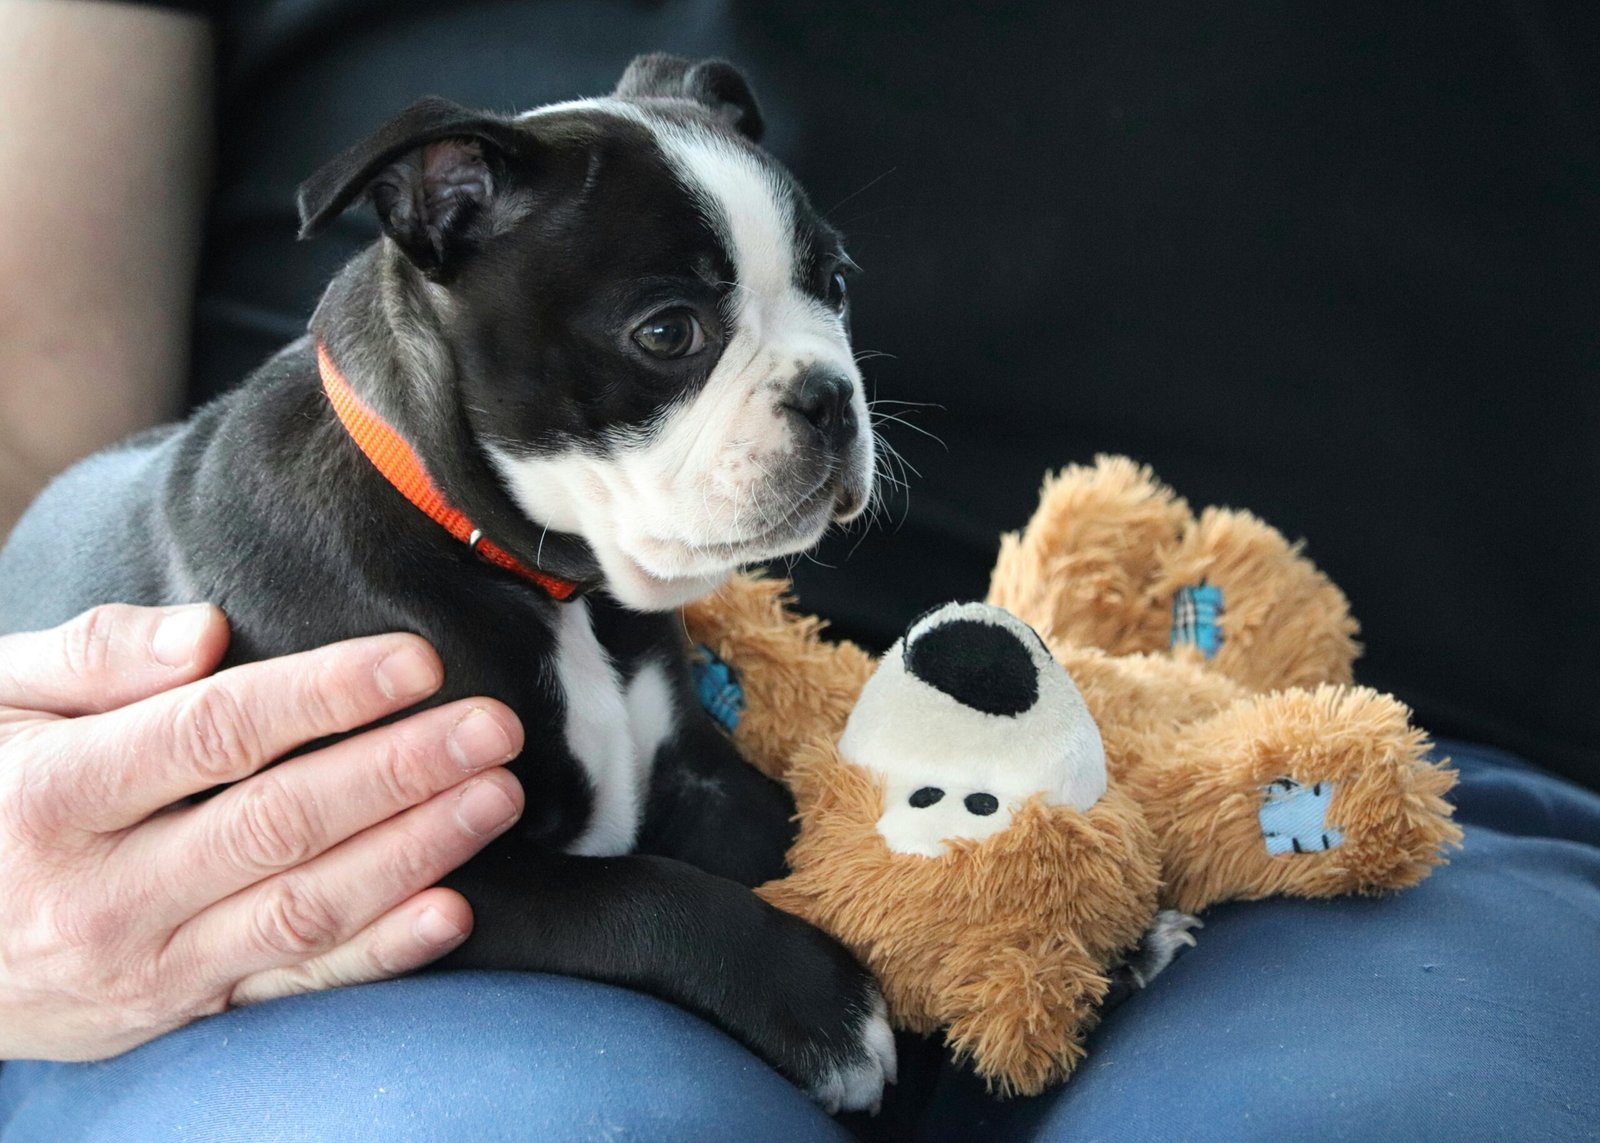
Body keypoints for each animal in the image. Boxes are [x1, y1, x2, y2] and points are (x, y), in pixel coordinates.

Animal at [0, 58, 896, 1107]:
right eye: (668, 332)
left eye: (837, 286)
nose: (831, 395)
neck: (535, 576)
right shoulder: (423, 871)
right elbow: (642, 893)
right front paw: (824, 1004)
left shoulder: (692, 767)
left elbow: (778, 825)